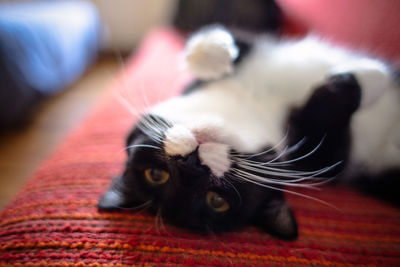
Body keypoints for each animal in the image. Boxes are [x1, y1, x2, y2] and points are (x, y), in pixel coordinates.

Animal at [97, 25, 400, 241]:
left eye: (155, 174)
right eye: (216, 201)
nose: (191, 165)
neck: (249, 107)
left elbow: (236, 39)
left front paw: (212, 55)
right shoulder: (323, 161)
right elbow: (329, 121)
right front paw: (374, 78)